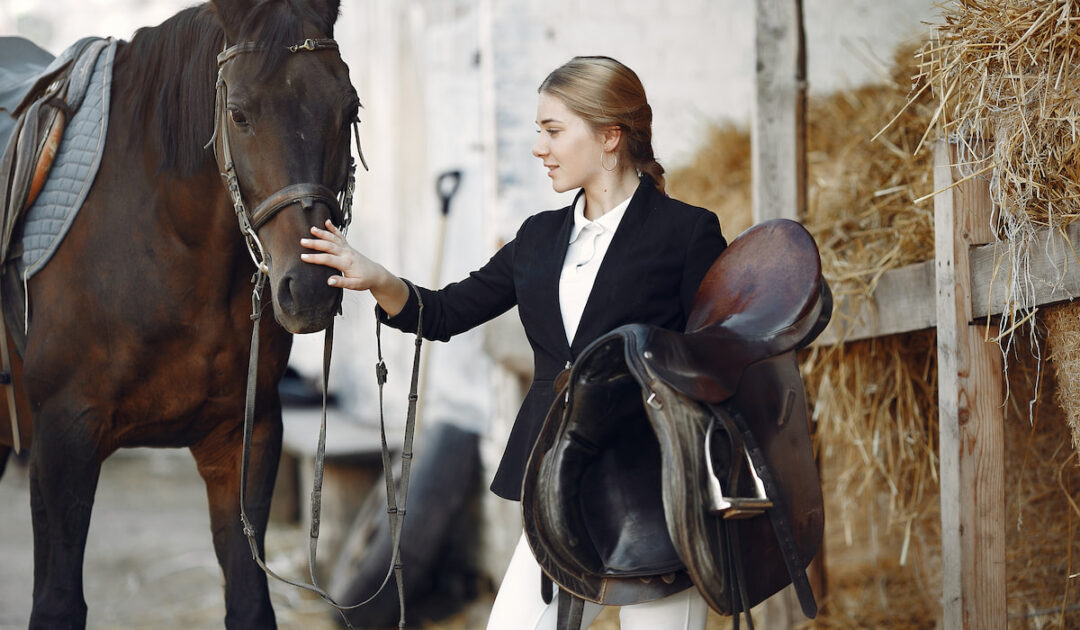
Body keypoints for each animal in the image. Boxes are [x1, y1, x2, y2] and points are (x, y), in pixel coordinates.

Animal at [0, 0, 359, 627]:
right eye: (238, 115)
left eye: (349, 109)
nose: (311, 287)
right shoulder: (61, 444)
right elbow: (58, 603)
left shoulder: (244, 438)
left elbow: (249, 601)